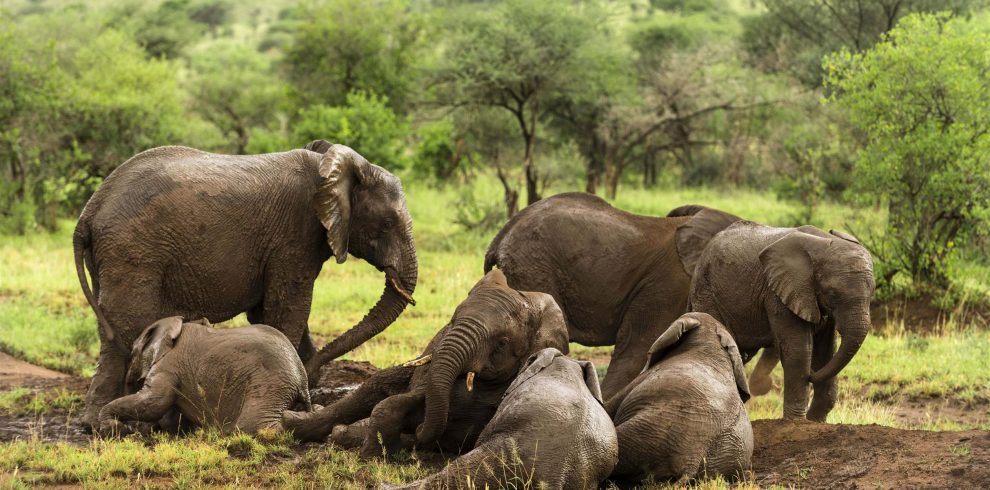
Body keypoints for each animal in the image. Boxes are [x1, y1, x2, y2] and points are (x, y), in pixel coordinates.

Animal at [97, 317, 313, 436]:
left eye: (132, 353)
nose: (129, 429)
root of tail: (302, 379)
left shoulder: (169, 366)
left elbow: (154, 402)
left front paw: (112, 427)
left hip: (269, 385)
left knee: (254, 426)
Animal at [283, 270, 570, 458]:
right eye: (451, 322)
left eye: (502, 343)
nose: (418, 430)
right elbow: (401, 399)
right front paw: (376, 448)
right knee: (372, 389)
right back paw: (296, 423)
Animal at [688, 221, 875, 421]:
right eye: (832, 293)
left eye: (872, 292)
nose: (811, 375)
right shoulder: (778, 293)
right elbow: (798, 349)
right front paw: (796, 422)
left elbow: (825, 351)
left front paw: (815, 421)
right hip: (706, 292)